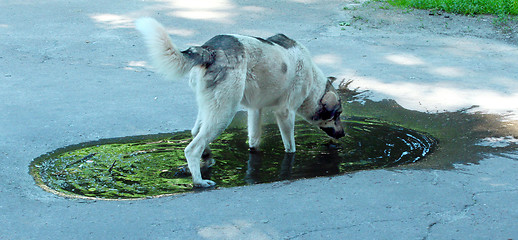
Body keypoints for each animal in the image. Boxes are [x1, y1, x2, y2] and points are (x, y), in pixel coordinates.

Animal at [135, 18, 346, 188]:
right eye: (337, 115)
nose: (343, 135)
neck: (313, 84)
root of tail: (210, 49)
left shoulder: (255, 110)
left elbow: (253, 141)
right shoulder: (285, 113)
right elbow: (290, 148)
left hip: (210, 108)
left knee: (195, 132)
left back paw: (208, 158)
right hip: (224, 113)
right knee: (192, 148)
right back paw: (199, 181)